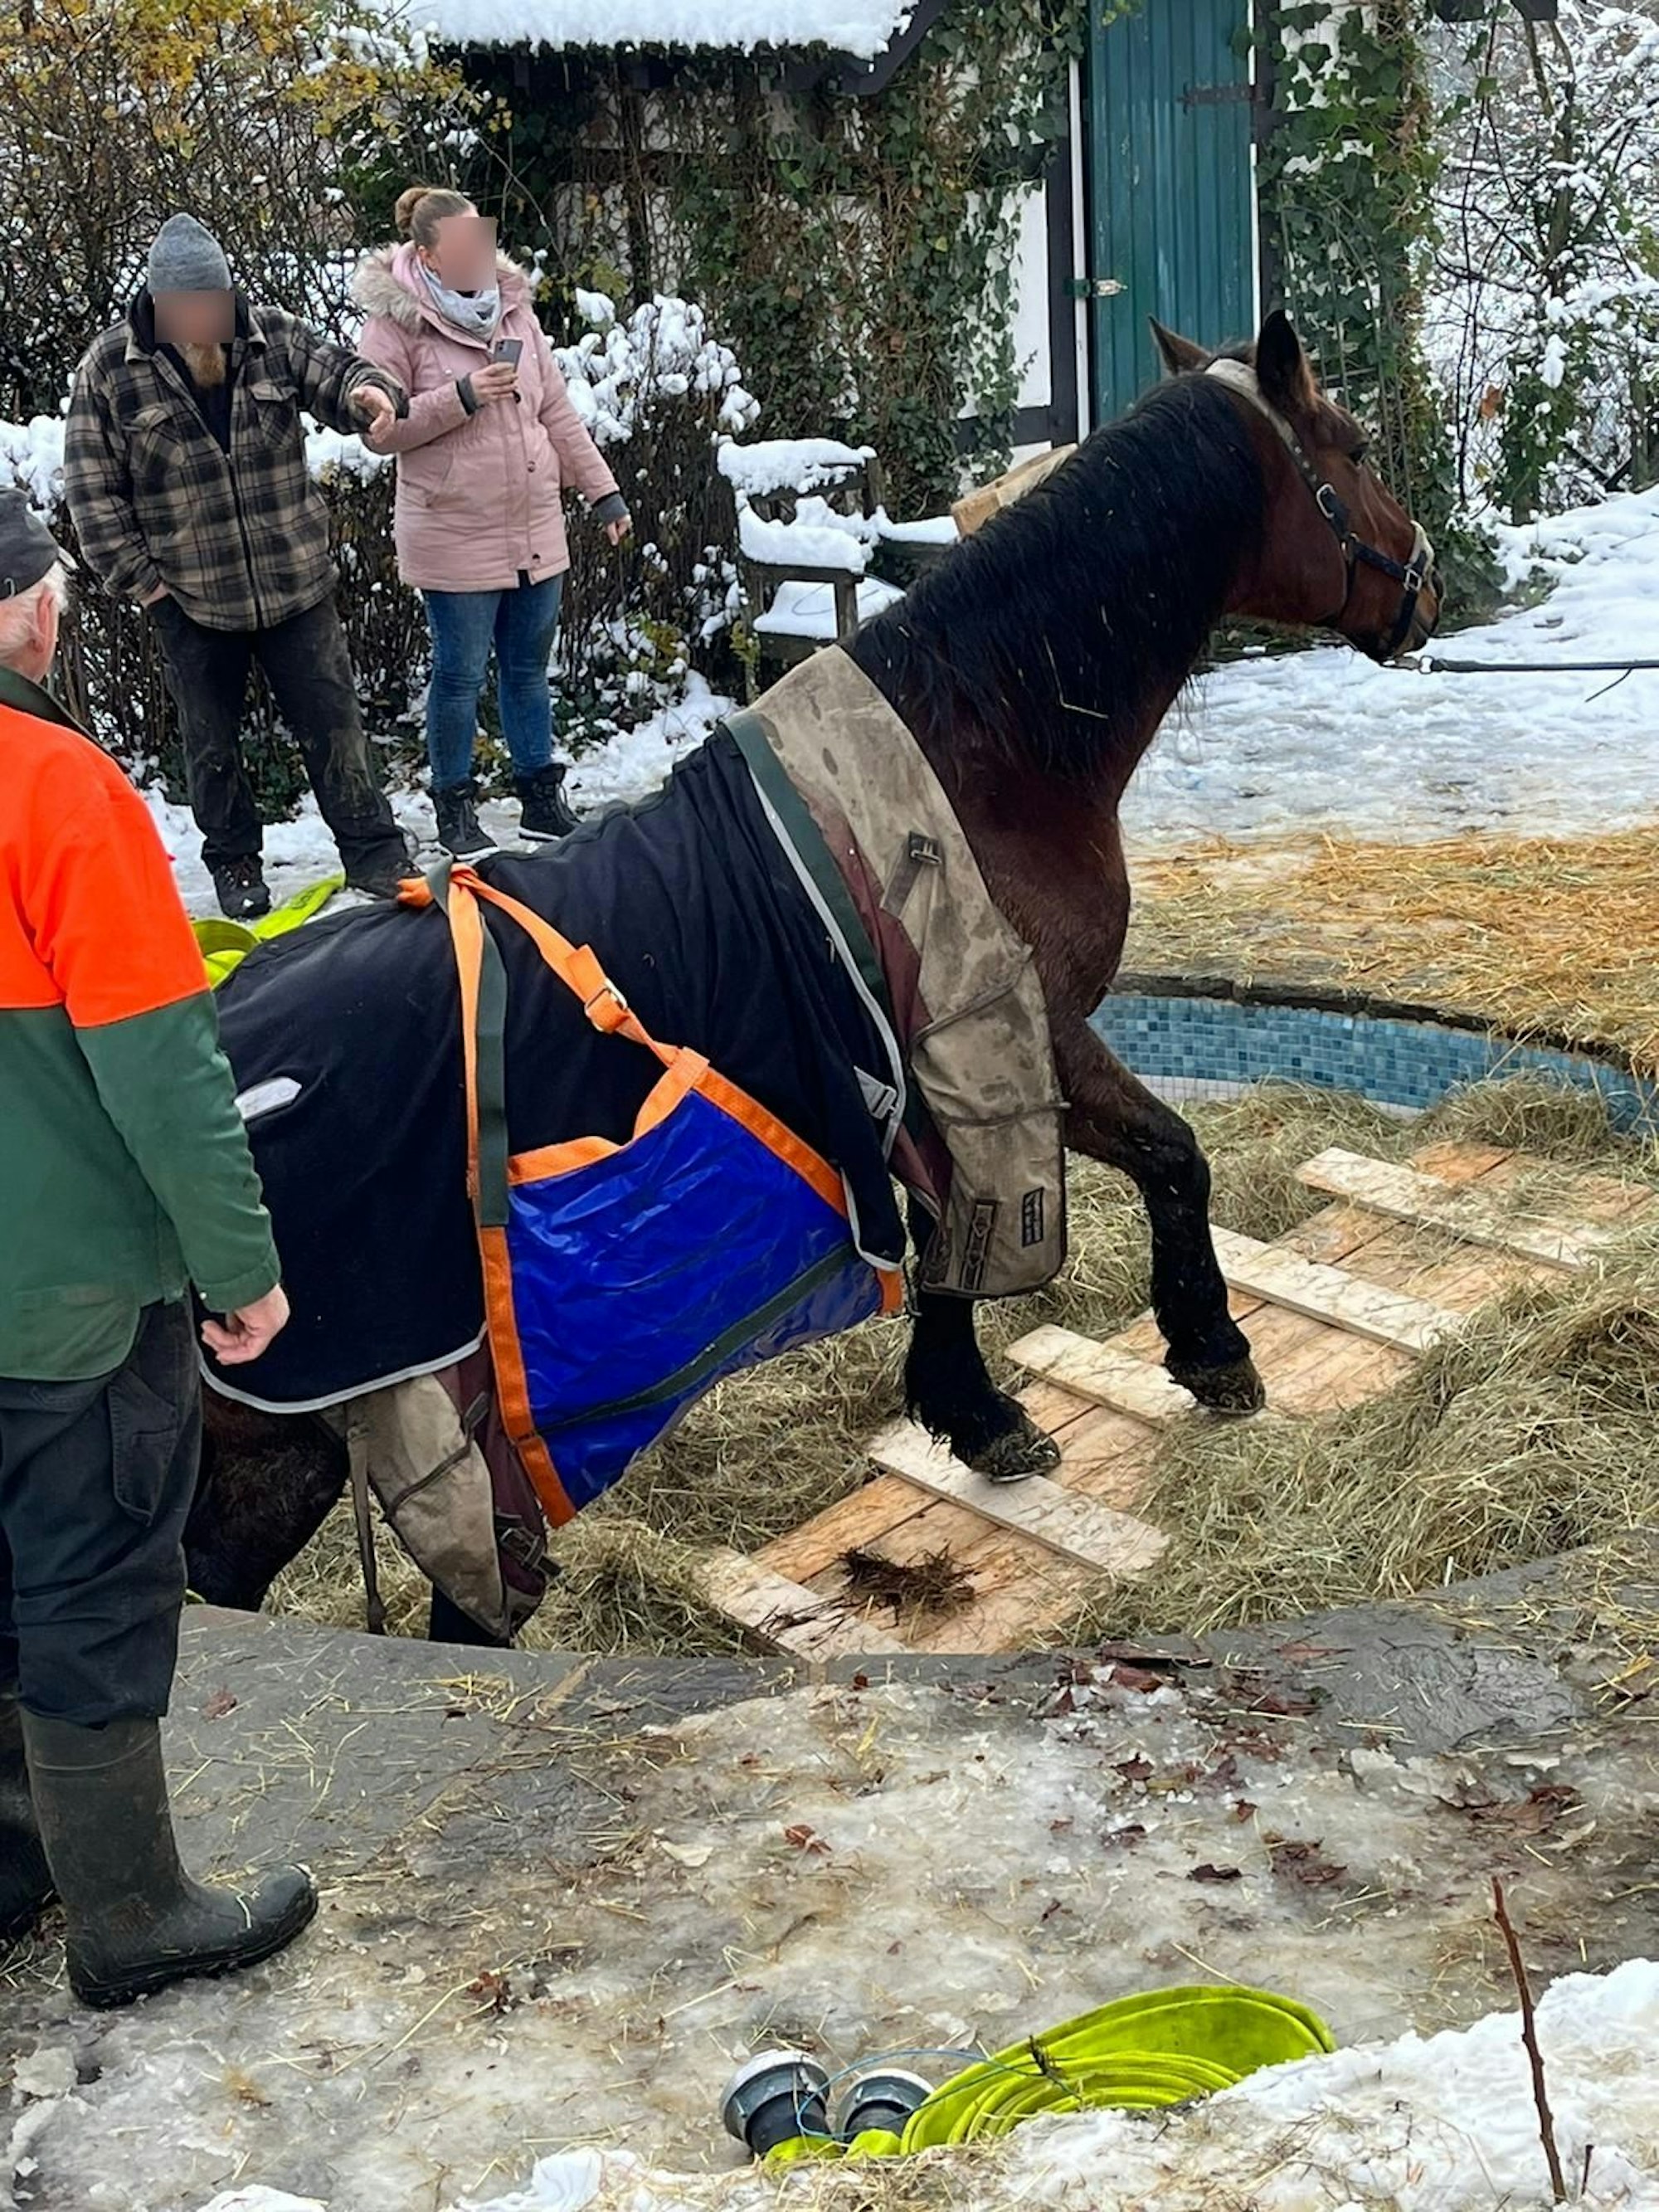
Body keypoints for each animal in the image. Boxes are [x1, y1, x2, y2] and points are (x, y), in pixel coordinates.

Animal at [185, 310, 1439, 1643]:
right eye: (1355, 447)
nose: (1426, 584)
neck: (975, 757)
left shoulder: (939, 1080)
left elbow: (954, 1245)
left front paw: (974, 1415)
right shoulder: (1019, 1040)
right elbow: (1169, 1157)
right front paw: (1208, 1347)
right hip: (300, 1443)